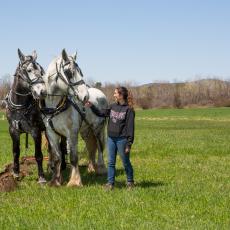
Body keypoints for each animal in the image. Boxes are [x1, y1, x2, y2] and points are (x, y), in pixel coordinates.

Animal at [5, 49, 46, 184]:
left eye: (41, 71)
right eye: (29, 70)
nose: (42, 92)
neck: (19, 107)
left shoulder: (35, 131)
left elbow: (38, 155)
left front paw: (41, 177)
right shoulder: (13, 131)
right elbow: (15, 152)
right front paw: (16, 173)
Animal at [38, 49, 89, 187]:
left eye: (80, 71)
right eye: (69, 72)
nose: (85, 96)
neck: (54, 107)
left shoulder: (72, 133)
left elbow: (74, 157)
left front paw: (75, 182)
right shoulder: (51, 134)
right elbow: (57, 158)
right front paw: (55, 181)